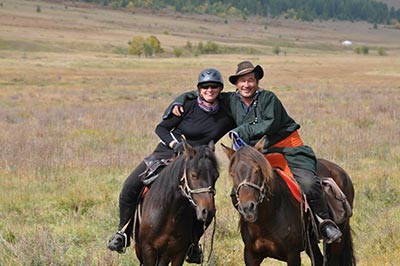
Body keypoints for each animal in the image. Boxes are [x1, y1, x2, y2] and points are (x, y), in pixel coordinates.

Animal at [222, 139, 356, 266]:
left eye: (258, 170)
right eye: (232, 173)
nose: (247, 208)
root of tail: (340, 171)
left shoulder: (292, 255)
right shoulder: (251, 256)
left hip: (339, 237)